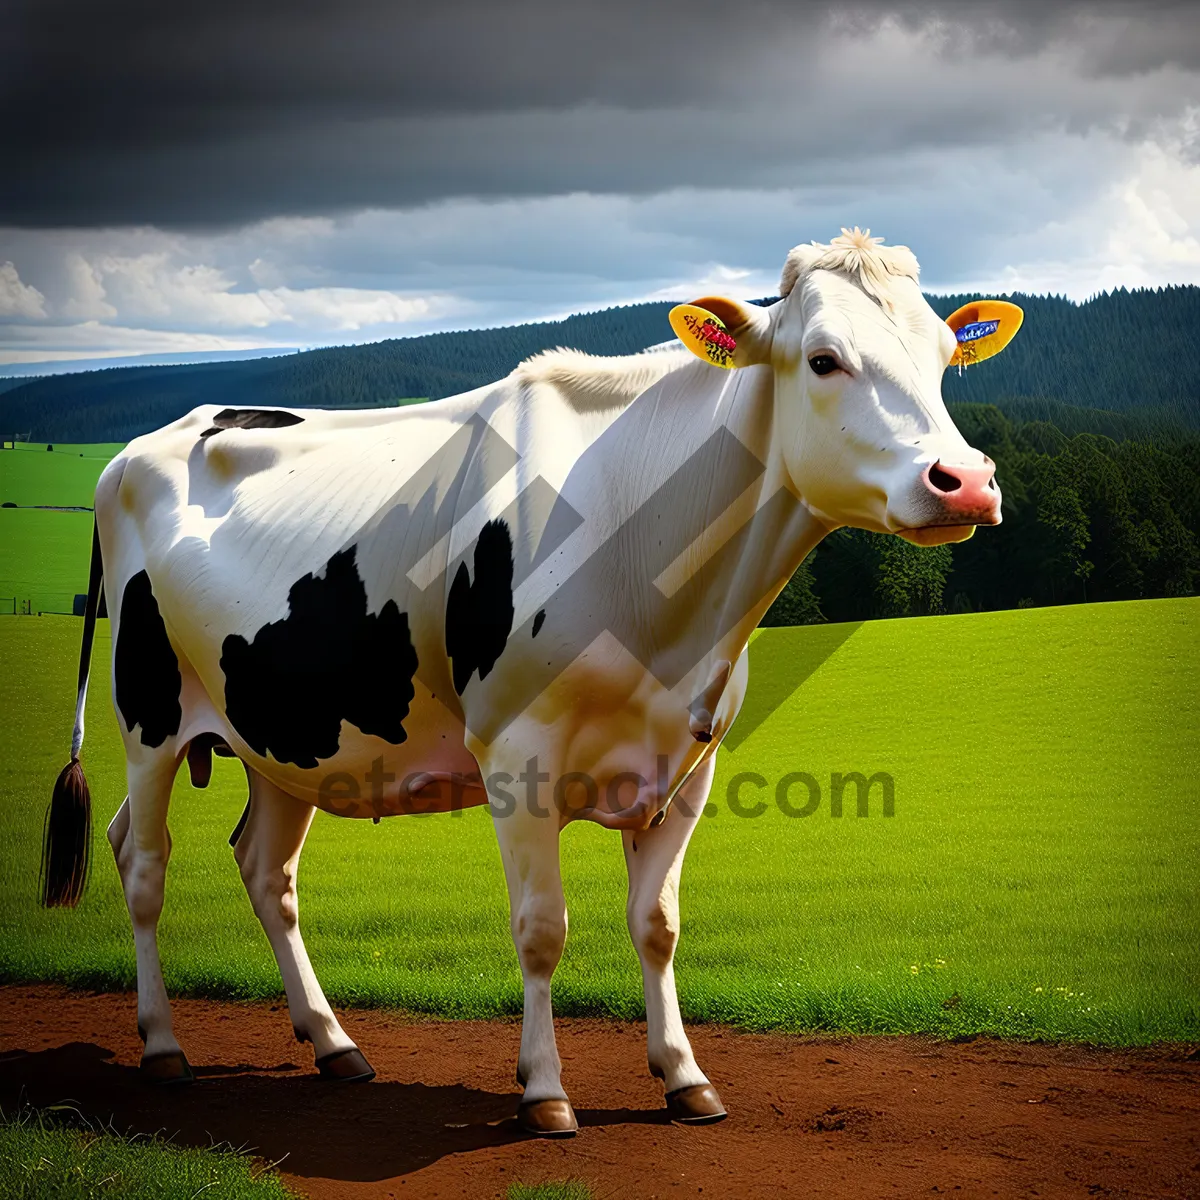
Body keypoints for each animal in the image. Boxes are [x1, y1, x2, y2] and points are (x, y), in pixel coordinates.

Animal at [37, 229, 1012, 1137]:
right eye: (823, 358)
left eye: (943, 356)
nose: (964, 481)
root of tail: (143, 444)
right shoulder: (518, 754)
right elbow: (542, 930)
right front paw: (544, 1092)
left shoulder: (690, 765)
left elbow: (657, 925)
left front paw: (684, 1076)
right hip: (147, 715)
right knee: (143, 861)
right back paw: (164, 1047)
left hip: (286, 733)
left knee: (264, 869)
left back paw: (334, 1043)